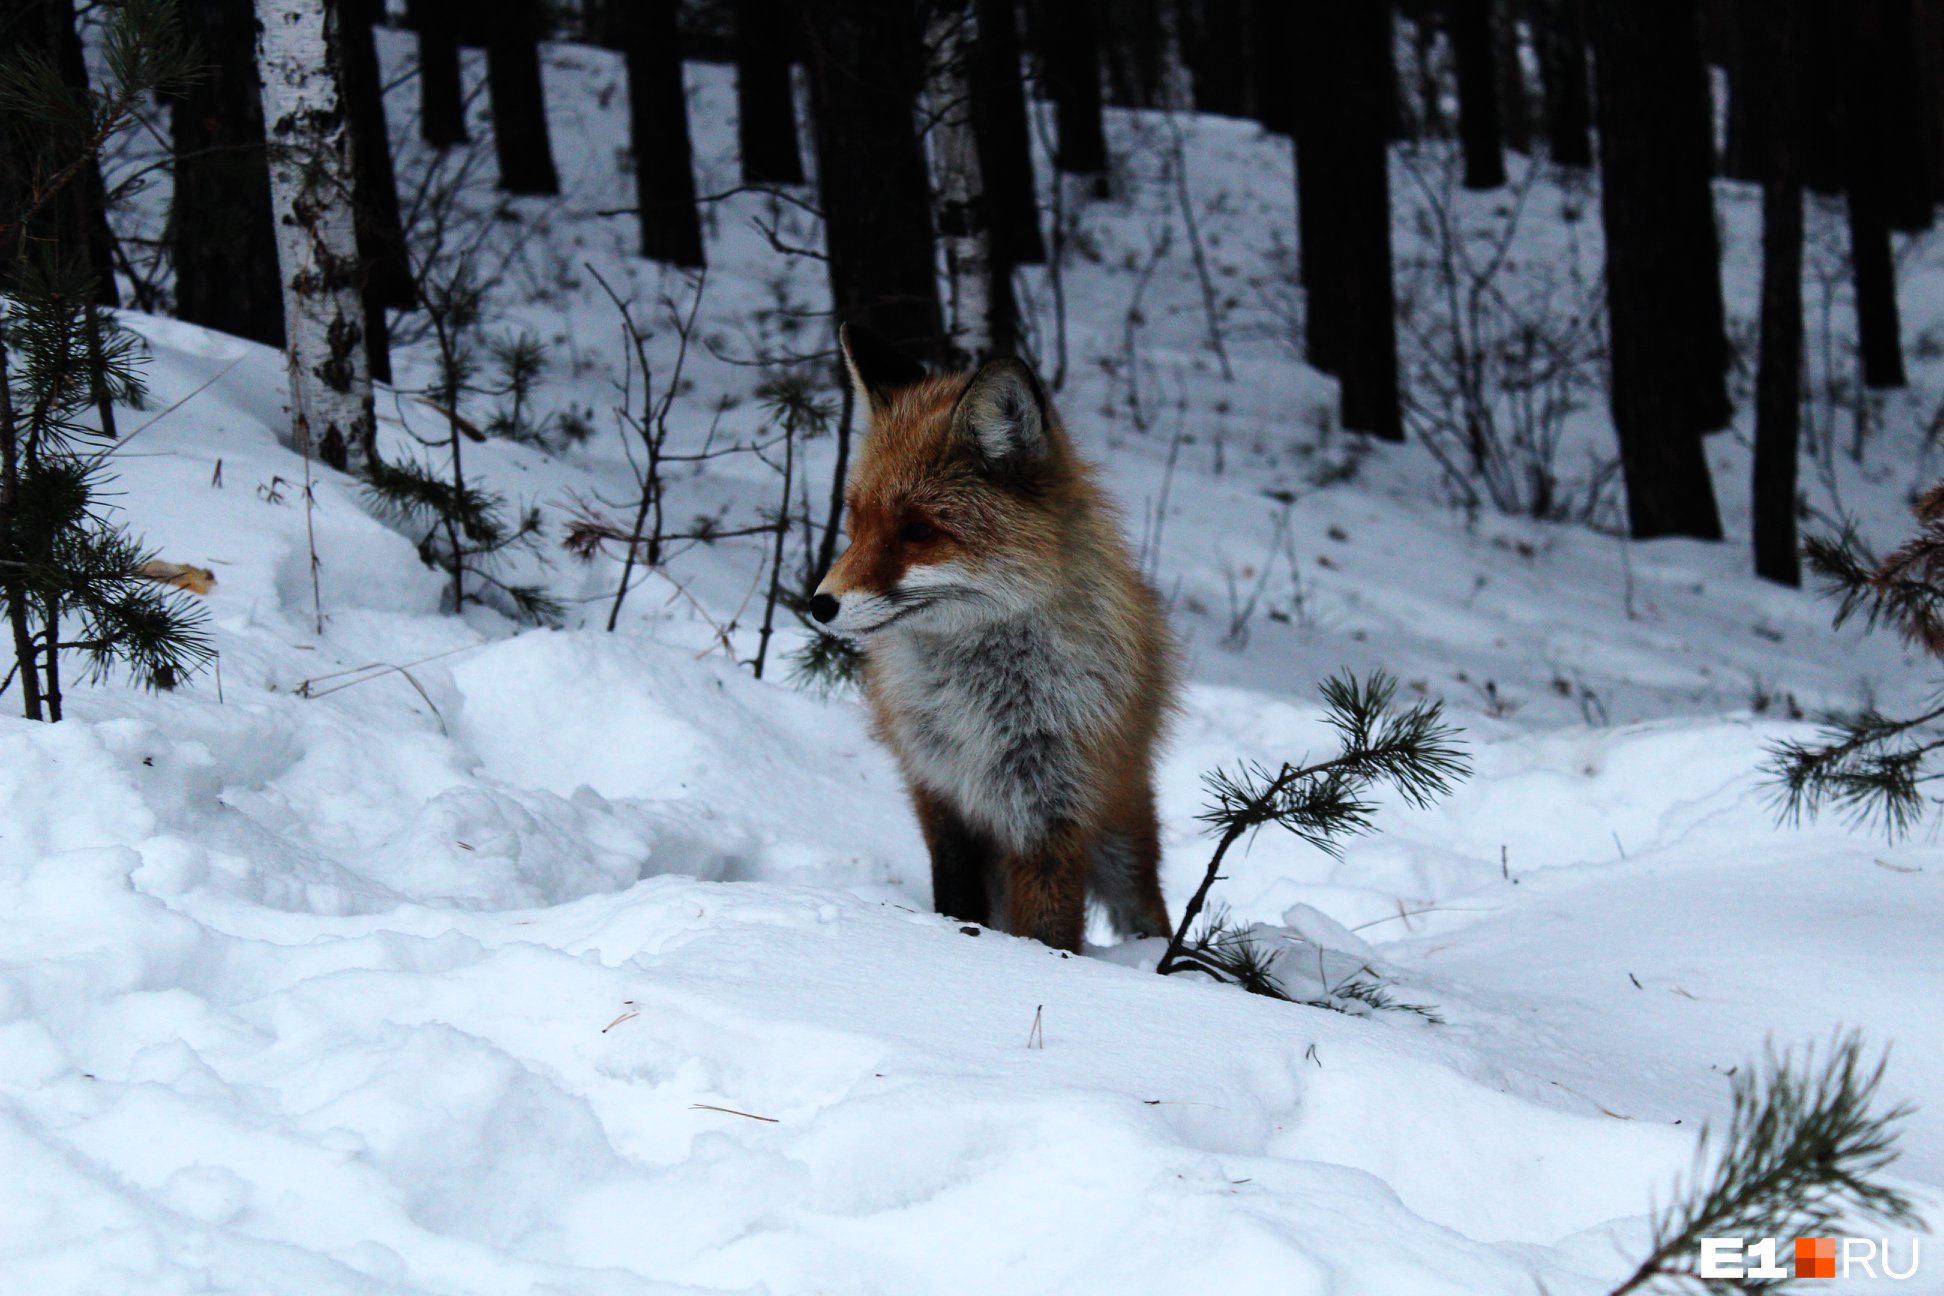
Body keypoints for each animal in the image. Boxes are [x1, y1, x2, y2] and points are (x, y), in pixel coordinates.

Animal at [812, 324, 1174, 952]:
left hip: (1123, 851)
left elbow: (1049, 933)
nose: (819, 604)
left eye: (918, 530)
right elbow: (957, 902)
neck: (978, 707)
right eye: (855, 523)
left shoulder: (1052, 812)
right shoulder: (941, 794)